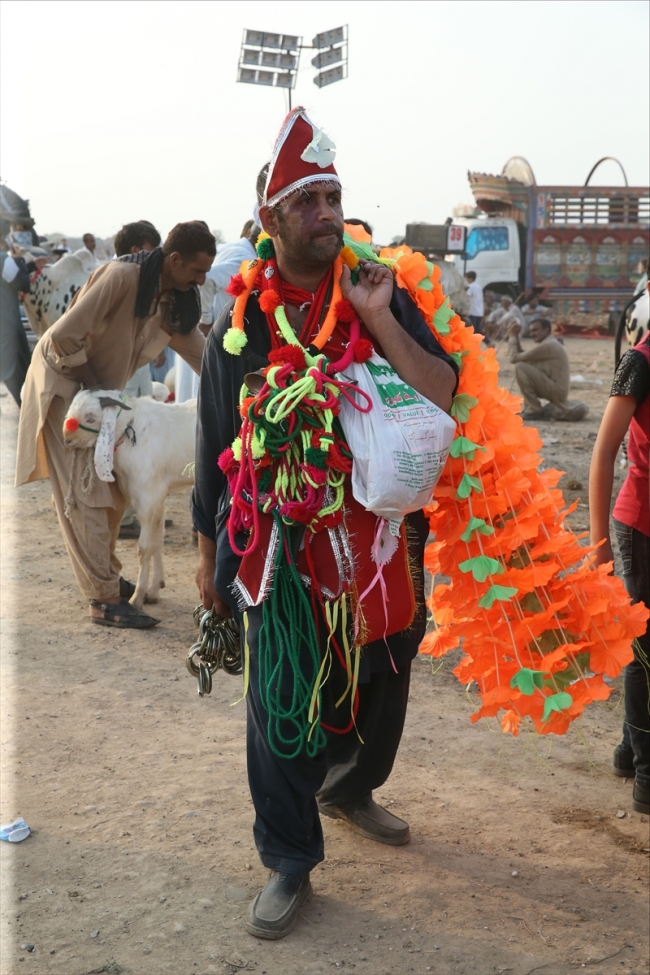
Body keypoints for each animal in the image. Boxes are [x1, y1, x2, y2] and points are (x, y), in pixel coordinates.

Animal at [63, 388, 195, 608]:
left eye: (91, 418)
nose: (66, 439)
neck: (130, 429)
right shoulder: (158, 496)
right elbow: (158, 540)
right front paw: (154, 589)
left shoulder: (148, 496)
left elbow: (144, 548)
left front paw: (138, 597)